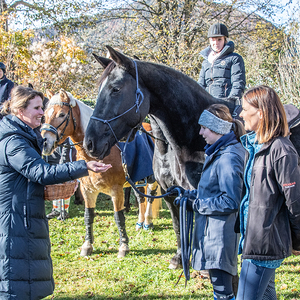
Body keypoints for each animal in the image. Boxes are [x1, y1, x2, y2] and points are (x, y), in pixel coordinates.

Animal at [41, 89, 162, 258]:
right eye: (45, 114)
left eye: (62, 114)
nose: (45, 142)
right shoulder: (88, 190)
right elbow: (88, 215)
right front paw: (87, 245)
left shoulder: (116, 191)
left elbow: (119, 217)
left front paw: (123, 246)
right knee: (141, 197)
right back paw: (140, 221)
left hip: (152, 178)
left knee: (150, 195)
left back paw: (148, 221)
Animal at [82, 47, 300, 270]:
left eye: (115, 89)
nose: (90, 142)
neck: (193, 137)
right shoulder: (172, 195)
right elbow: (179, 227)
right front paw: (179, 258)